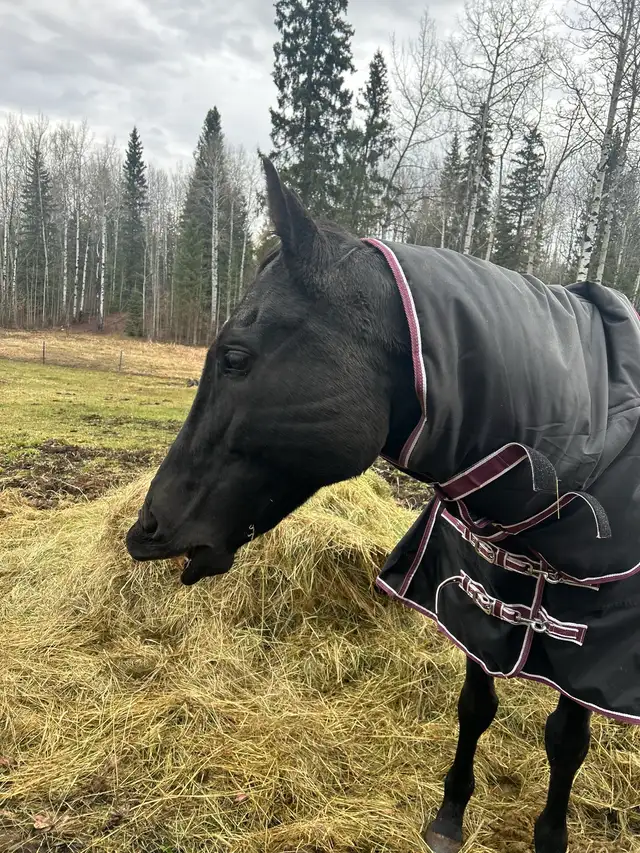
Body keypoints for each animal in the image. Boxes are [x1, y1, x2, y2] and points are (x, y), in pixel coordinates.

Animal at [126, 156, 640, 853]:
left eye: (234, 357)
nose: (146, 528)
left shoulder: (593, 644)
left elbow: (566, 740)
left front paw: (550, 836)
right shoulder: (476, 597)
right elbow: (475, 706)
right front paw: (449, 816)